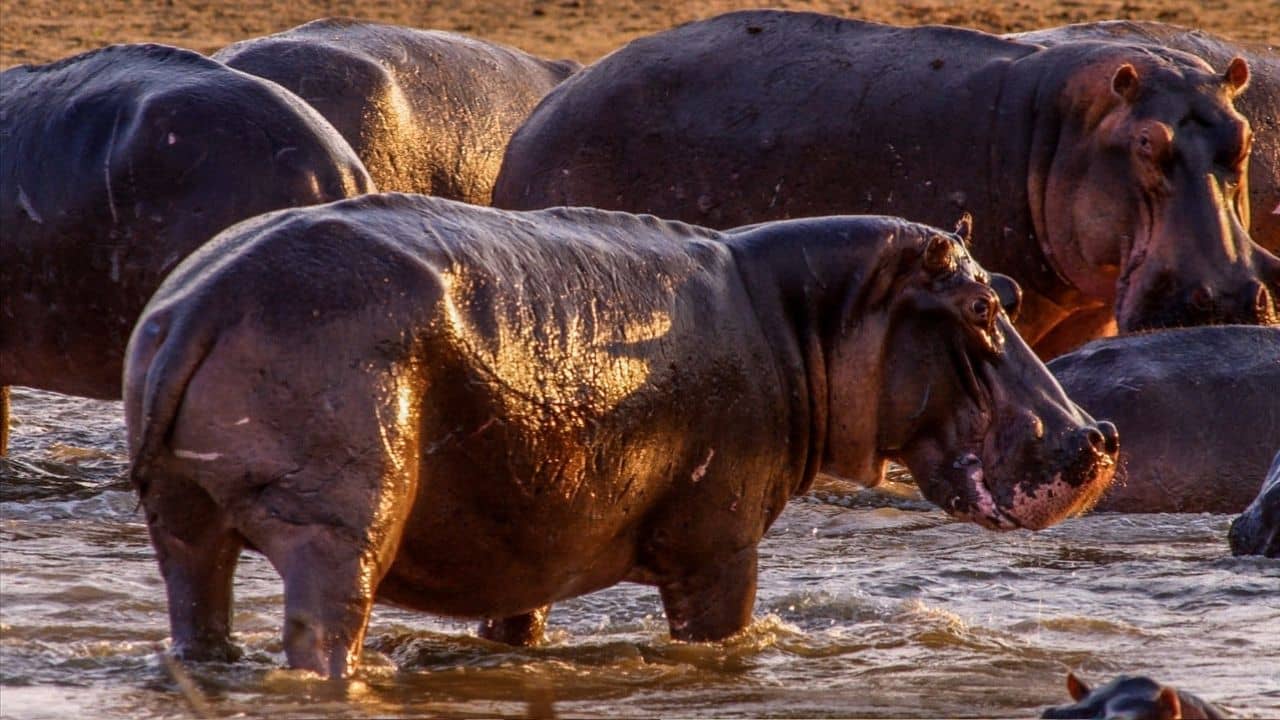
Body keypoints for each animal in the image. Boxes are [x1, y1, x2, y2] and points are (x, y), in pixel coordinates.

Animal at [124, 194, 1117, 678]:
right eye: (982, 305)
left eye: (1011, 292)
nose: (1099, 440)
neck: (805, 317)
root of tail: (197, 302)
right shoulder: (720, 547)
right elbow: (719, 631)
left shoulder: (526, 550)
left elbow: (519, 627)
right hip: (338, 530)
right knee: (323, 628)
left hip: (184, 522)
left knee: (197, 602)